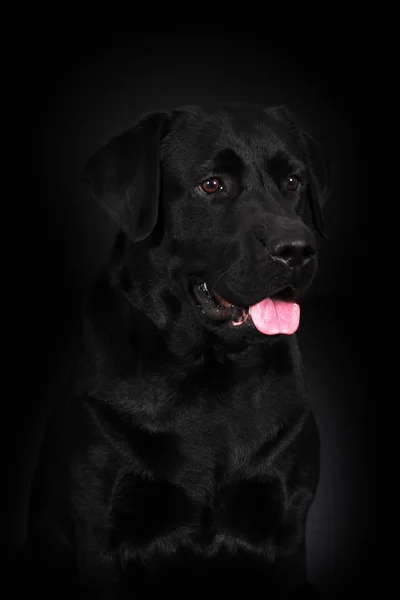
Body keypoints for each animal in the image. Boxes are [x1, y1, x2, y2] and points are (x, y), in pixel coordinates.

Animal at [18, 105, 330, 596]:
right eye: (213, 185)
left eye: (293, 181)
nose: (298, 250)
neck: (210, 373)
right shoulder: (99, 525)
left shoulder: (286, 527)